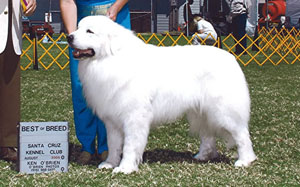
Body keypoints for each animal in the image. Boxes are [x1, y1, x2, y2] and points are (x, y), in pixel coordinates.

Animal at [68, 15, 255, 174]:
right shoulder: (112, 119)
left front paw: (125, 168)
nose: (69, 37)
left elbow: (129, 145)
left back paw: (245, 160)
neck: (110, 58)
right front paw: (109, 163)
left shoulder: (134, 117)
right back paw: (202, 156)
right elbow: (114, 144)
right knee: (207, 135)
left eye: (89, 31)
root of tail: (230, 58)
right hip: (201, 112)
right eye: (78, 28)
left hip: (224, 111)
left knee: (242, 135)